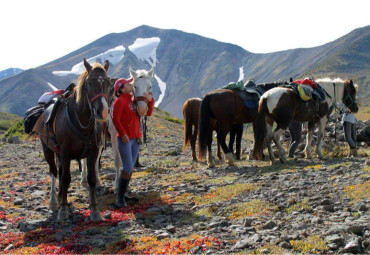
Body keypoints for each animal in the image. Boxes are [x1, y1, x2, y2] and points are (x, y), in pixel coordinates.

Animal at [38, 58, 112, 221]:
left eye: (109, 83)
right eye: (89, 83)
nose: (103, 111)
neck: (81, 122)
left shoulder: (93, 152)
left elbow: (91, 179)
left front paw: (94, 211)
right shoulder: (65, 153)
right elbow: (65, 179)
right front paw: (63, 211)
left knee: (59, 172)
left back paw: (61, 198)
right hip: (48, 150)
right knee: (54, 172)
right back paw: (54, 202)